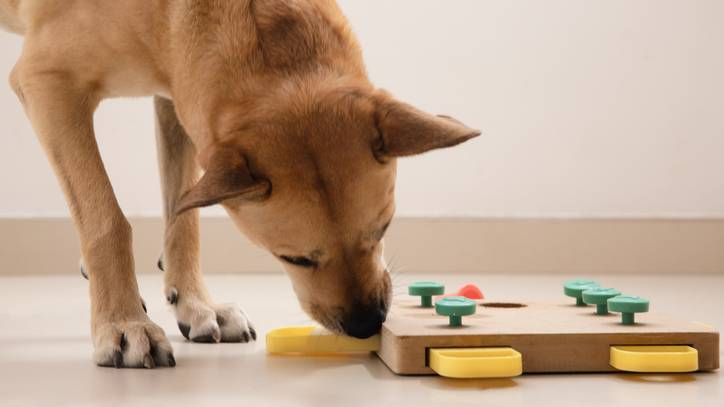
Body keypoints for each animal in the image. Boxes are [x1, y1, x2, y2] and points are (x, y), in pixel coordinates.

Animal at [1, 0, 480, 370]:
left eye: (382, 230)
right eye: (294, 259)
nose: (366, 325)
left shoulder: (179, 98)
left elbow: (183, 213)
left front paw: (195, 303)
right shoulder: (48, 84)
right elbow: (106, 218)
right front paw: (123, 323)